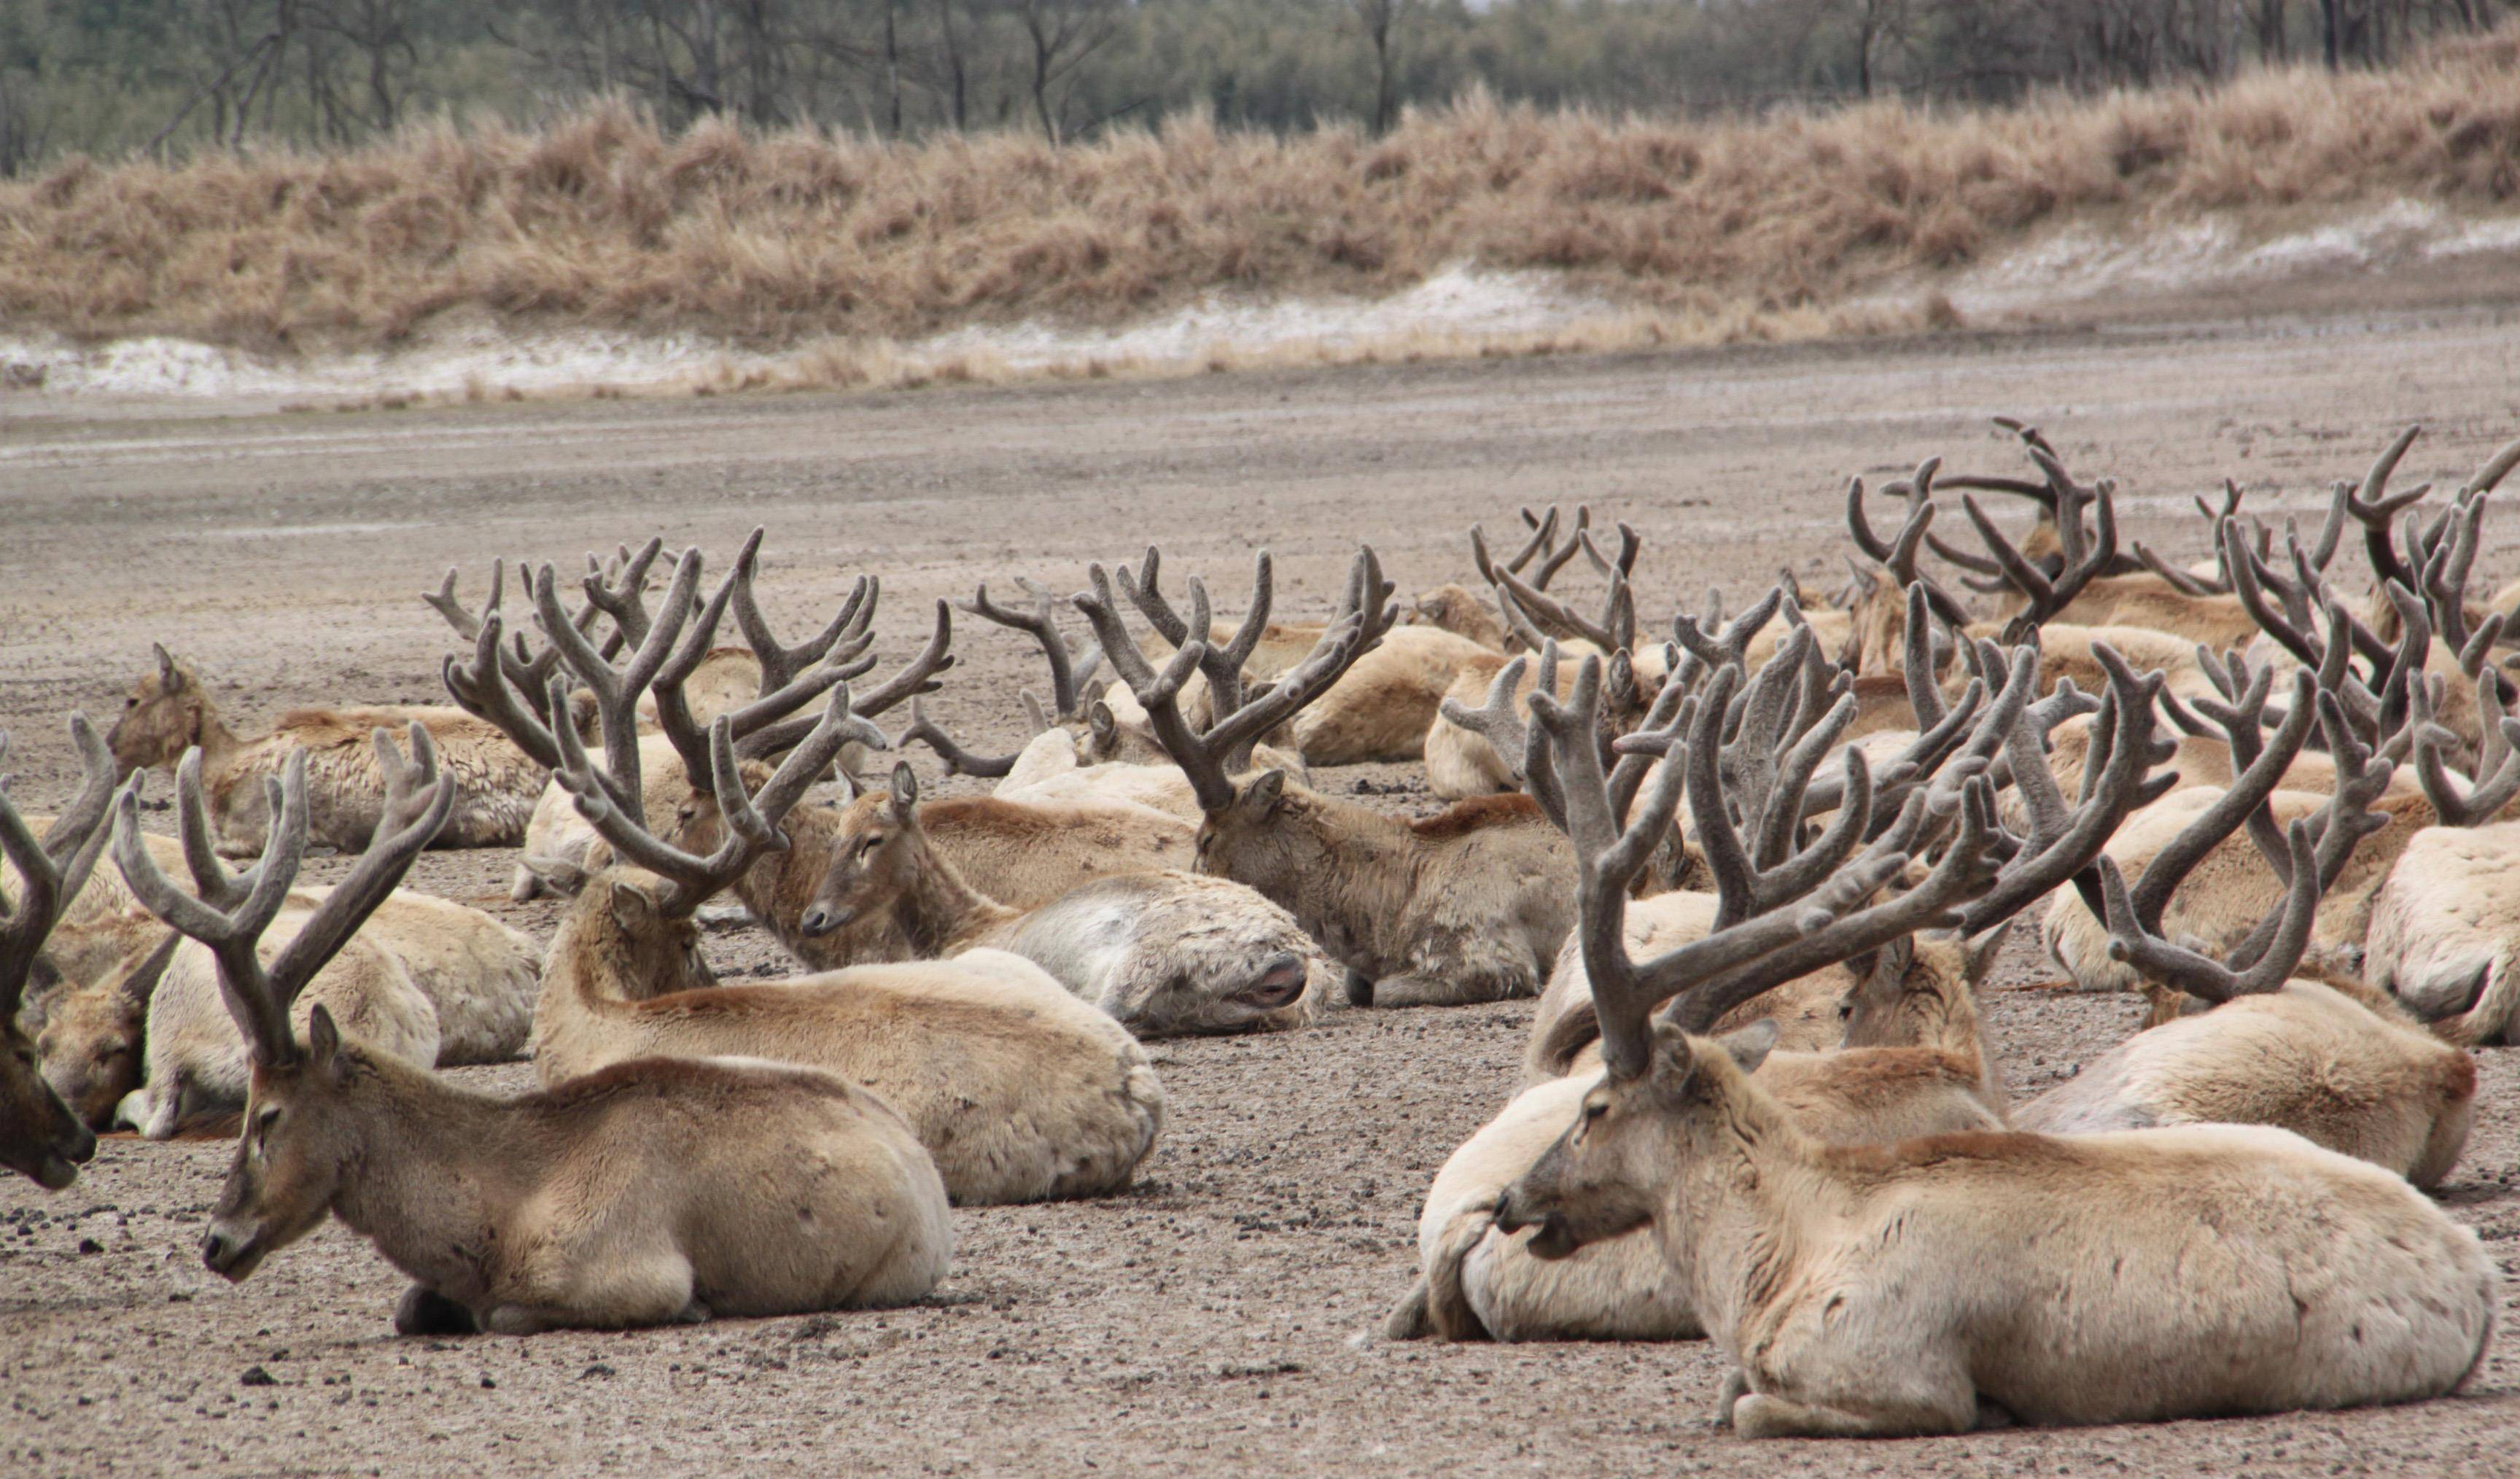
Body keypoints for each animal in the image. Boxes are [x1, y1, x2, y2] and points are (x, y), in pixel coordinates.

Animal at [106, 725, 952, 1340]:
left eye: (268, 1116)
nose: (218, 1240)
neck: (494, 1213)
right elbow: (413, 1308)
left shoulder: (635, 1272)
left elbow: (510, 1313)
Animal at [796, 756, 1330, 1038]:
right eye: (835, 837)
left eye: (872, 840)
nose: (814, 917)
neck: (964, 927)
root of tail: (1293, 962)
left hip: (1143, 958)